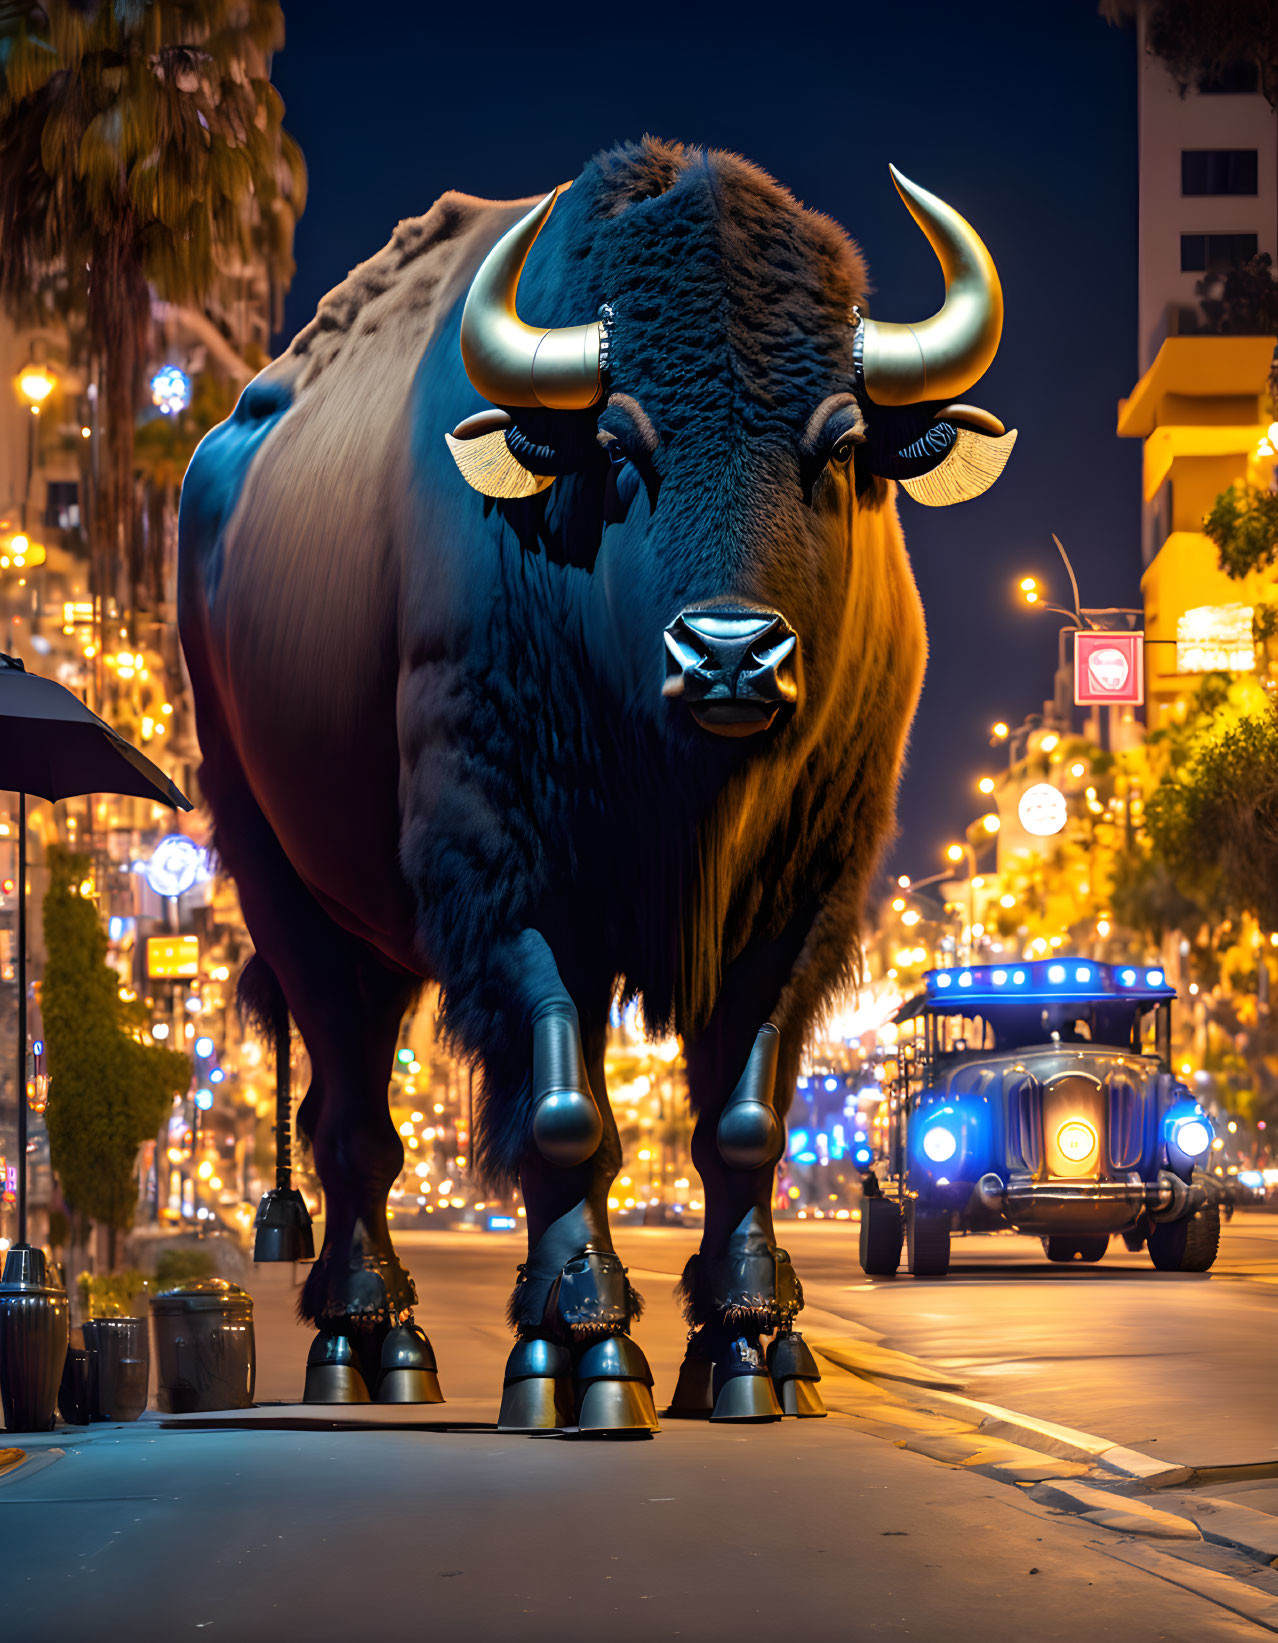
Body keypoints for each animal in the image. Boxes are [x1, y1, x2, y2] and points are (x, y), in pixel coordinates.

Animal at [181, 138, 1018, 1426]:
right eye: (622, 445)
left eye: (838, 443)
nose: (730, 653)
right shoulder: (506, 879)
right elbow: (567, 1108)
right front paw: (578, 1340)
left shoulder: (808, 900)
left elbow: (744, 1121)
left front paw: (752, 1342)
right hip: (272, 872)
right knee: (355, 1119)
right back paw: (366, 1338)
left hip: (375, 930)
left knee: (352, 1099)